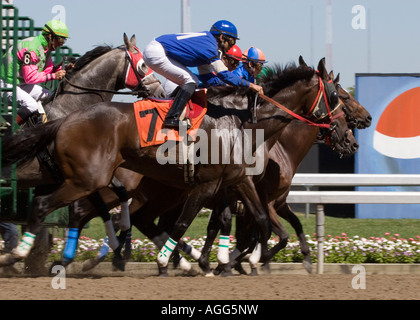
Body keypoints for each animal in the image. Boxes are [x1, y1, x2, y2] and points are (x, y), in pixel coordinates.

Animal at [2, 58, 348, 272]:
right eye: (336, 95)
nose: (348, 135)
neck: (245, 123)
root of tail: (65, 120)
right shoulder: (208, 184)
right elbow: (184, 225)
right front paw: (176, 261)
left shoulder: (239, 182)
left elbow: (260, 221)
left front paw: (245, 261)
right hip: (92, 180)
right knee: (54, 206)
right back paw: (23, 255)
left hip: (101, 182)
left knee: (97, 212)